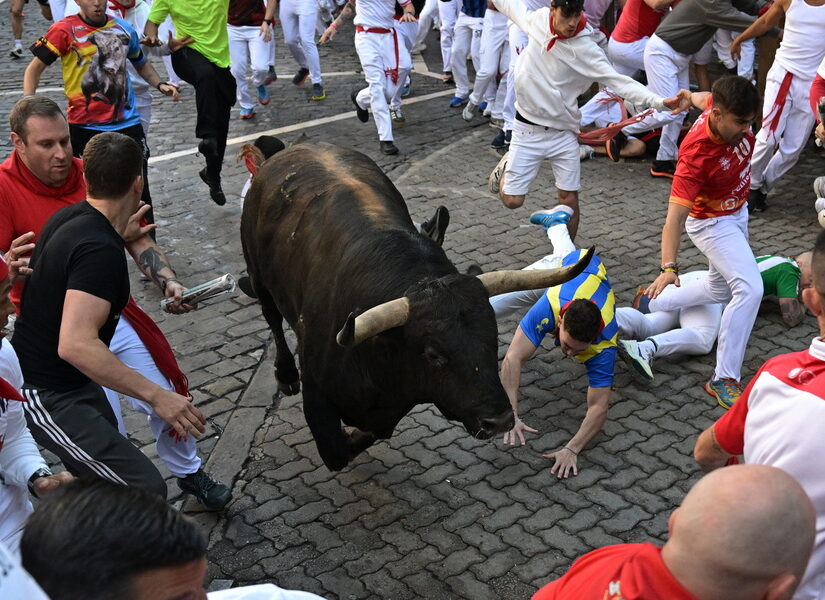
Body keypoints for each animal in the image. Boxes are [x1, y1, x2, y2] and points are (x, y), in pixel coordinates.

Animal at [240, 143, 592, 472]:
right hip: (259, 277)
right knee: (272, 319)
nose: (500, 420)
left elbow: (376, 431)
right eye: (433, 354)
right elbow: (338, 451)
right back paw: (285, 374)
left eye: (494, 339)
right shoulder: (317, 401)